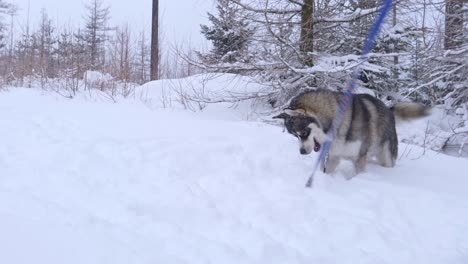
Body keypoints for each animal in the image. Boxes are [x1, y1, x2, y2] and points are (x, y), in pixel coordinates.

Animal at [272, 89, 430, 176]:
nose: (302, 152)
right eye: (295, 135)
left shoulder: (359, 157)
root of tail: (389, 110)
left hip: (385, 157)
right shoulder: (333, 156)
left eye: (304, 132)